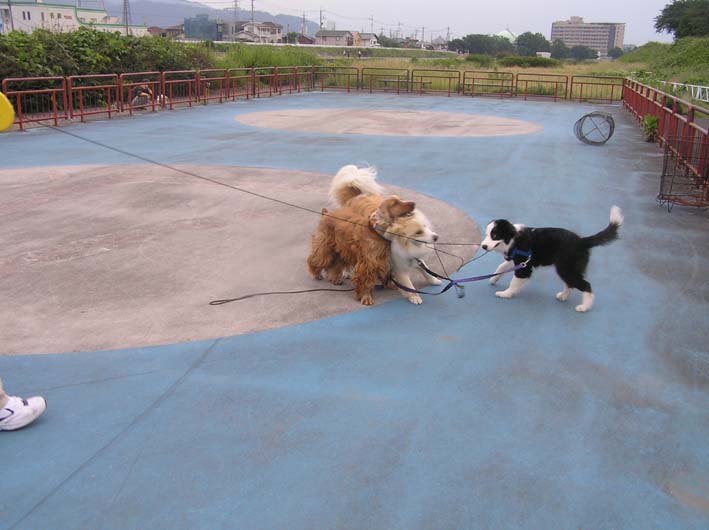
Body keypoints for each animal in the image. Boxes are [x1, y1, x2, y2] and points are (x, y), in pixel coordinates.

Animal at [307, 165, 441, 305]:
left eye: (400, 199)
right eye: (395, 203)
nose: (413, 203)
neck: (379, 234)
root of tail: (326, 213)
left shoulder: (387, 260)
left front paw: (391, 284)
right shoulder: (369, 262)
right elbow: (366, 280)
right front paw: (366, 297)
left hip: (341, 247)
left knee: (336, 263)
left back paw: (335, 278)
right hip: (325, 246)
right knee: (317, 259)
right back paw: (318, 274)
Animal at [480, 206, 623, 312]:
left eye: (494, 235)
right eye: (487, 234)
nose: (483, 246)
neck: (513, 238)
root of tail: (582, 241)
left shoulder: (524, 267)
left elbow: (514, 282)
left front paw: (506, 293)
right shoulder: (517, 259)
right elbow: (501, 266)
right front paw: (493, 279)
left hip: (566, 267)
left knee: (585, 285)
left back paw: (584, 307)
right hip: (568, 268)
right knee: (571, 283)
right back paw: (563, 296)